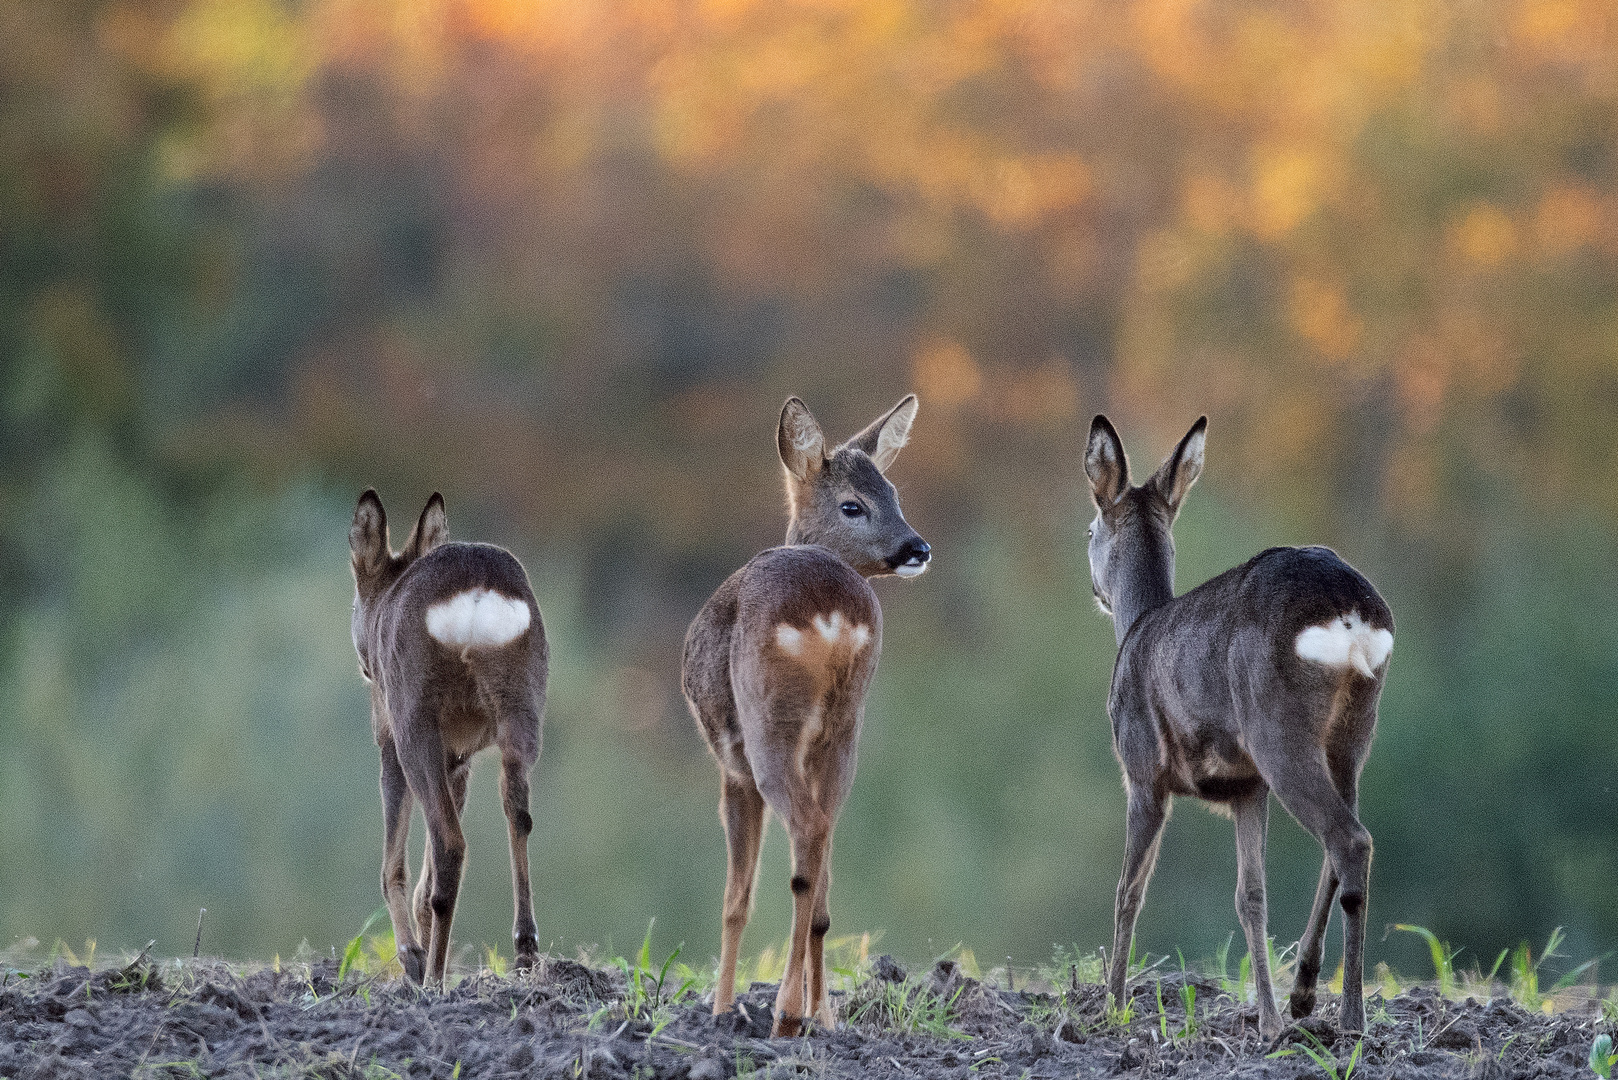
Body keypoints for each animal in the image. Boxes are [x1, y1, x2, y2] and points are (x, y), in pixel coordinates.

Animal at [347, 488, 550, 990]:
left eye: (357, 592)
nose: (363, 661)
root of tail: (476, 594)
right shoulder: (459, 754)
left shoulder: (390, 737)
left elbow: (393, 866)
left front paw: (412, 958)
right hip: (522, 707)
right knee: (518, 813)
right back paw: (524, 953)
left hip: (414, 718)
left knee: (451, 844)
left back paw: (434, 976)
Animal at [686, 393, 938, 1036]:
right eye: (857, 502)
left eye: (890, 494)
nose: (918, 548)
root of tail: (830, 612)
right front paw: (824, 1015)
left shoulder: (732, 766)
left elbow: (736, 897)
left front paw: (720, 1008)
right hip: (845, 728)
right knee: (822, 856)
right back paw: (815, 1015)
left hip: (768, 724)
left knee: (803, 843)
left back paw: (783, 1014)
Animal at [1080, 417, 1397, 1036]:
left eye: (1088, 529)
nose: (1093, 592)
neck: (1138, 627)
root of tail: (1349, 612)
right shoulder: (1247, 788)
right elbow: (1251, 895)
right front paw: (1269, 1018)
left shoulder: (1142, 772)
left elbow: (1129, 890)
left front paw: (1113, 1005)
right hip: (1352, 732)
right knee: (1344, 839)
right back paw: (1305, 995)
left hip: (1277, 727)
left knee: (1350, 839)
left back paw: (1351, 1018)